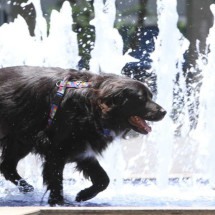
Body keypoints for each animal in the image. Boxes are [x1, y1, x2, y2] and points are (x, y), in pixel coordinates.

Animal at [0, 65, 166, 205]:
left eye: (151, 96)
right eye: (141, 99)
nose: (164, 112)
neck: (91, 106)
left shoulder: (83, 148)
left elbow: (103, 179)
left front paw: (83, 195)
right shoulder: (56, 150)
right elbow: (56, 178)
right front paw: (58, 202)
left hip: (21, 141)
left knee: (7, 166)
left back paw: (26, 187)